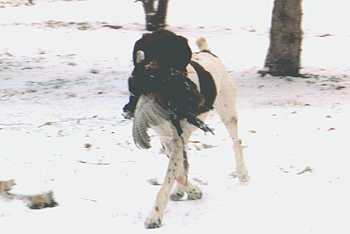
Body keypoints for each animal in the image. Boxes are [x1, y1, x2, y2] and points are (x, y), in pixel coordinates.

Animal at [129, 29, 249, 229]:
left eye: (167, 51)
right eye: (147, 49)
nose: (149, 74)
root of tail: (208, 52)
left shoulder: (176, 139)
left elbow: (172, 176)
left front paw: (155, 216)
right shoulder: (167, 139)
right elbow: (179, 172)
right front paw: (191, 190)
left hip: (228, 112)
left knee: (236, 142)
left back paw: (242, 173)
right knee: (184, 163)